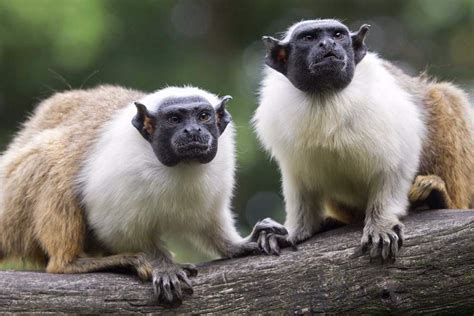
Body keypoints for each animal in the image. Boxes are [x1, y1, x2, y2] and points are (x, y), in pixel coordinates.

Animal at [0, 84, 286, 304]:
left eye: (203, 116)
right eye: (175, 119)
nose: (193, 131)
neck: (180, 167)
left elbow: (209, 222)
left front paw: (238, 244)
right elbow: (117, 228)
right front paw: (163, 265)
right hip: (13, 203)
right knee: (54, 155)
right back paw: (75, 262)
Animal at [254, 20, 472, 262]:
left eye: (337, 35)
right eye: (309, 38)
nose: (327, 44)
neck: (325, 98)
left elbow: (397, 166)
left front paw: (381, 225)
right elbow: (301, 185)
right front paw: (295, 232)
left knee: (445, 98)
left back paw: (441, 198)